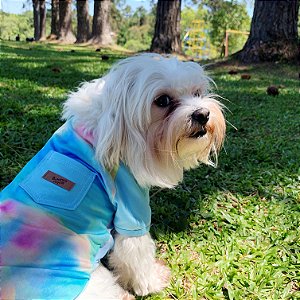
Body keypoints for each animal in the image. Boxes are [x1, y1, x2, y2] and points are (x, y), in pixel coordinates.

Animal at [0, 52, 225, 298]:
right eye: (163, 101)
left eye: (197, 93)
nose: (203, 114)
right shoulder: (130, 205)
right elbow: (136, 251)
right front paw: (152, 281)